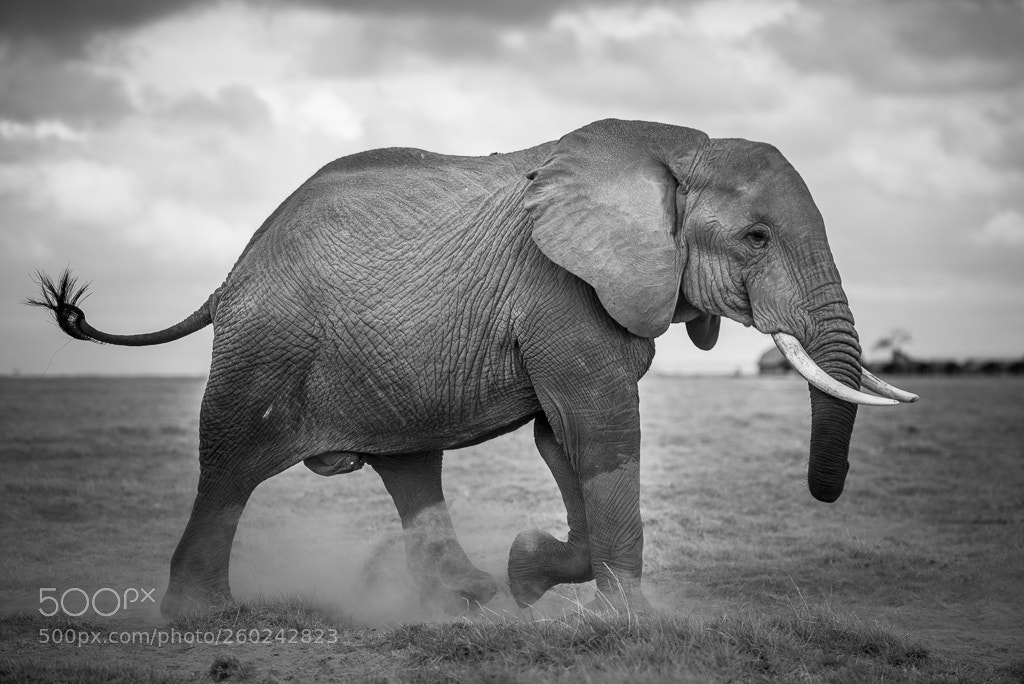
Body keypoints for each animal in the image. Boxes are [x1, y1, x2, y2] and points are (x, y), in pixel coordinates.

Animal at [29, 118, 917, 618]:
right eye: (756, 239)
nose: (825, 489)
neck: (675, 151)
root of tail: (228, 277)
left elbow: (564, 442)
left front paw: (530, 573)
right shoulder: (558, 289)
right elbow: (600, 432)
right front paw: (633, 620)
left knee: (408, 467)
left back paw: (470, 598)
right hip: (266, 345)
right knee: (229, 468)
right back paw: (204, 617)